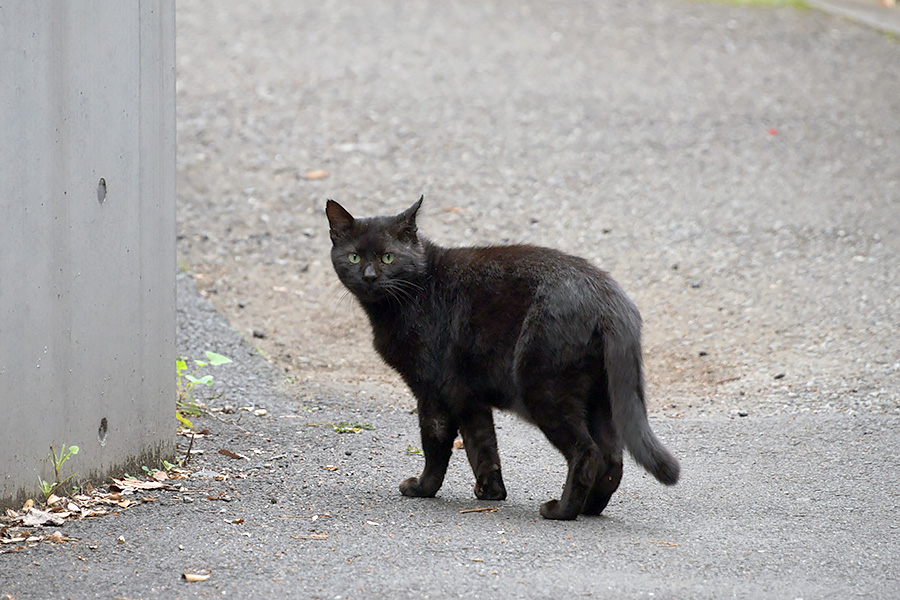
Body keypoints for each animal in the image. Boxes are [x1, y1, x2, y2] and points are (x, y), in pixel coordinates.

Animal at [326, 198, 680, 520]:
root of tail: (608, 296)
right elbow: (482, 445)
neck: (416, 290)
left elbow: (435, 444)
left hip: (544, 389)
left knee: (587, 452)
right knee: (611, 458)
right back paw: (590, 509)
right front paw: (491, 492)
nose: (369, 276)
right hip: (602, 398)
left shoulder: (433, 391)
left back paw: (561, 510)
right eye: (354, 256)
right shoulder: (467, 395)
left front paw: (423, 489)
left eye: (388, 257)